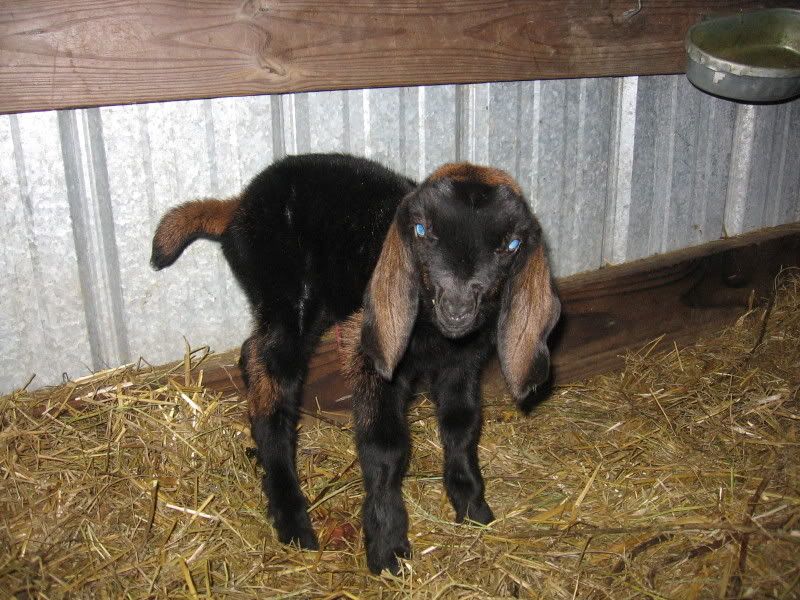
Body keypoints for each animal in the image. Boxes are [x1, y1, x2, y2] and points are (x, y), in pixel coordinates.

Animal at [151, 153, 560, 574]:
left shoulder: (462, 364)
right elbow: (385, 446)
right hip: (283, 294)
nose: (458, 307)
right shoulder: (372, 355)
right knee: (273, 387)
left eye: (512, 244)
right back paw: (292, 519)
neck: (435, 332)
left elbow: (462, 427)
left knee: (253, 353)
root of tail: (238, 205)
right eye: (420, 229)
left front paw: (473, 506)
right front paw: (387, 547)